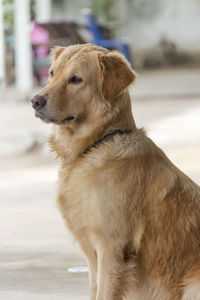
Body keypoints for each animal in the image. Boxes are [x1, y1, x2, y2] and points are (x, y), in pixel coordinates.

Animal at [31, 43, 200, 298]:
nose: (35, 100)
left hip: (192, 284)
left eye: (75, 79)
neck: (96, 144)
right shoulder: (93, 256)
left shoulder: (112, 249)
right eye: (51, 73)